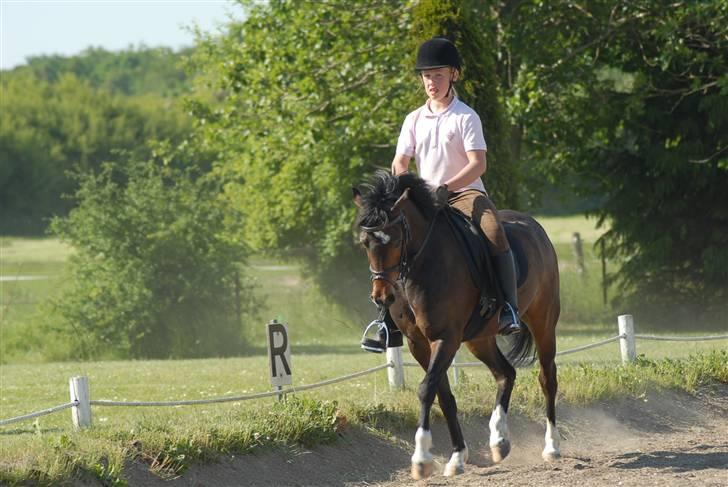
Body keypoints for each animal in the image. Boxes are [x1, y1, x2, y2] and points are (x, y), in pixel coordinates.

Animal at [352, 171, 561, 479]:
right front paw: (457, 457)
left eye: (396, 240)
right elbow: (444, 395)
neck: (422, 266)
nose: (382, 296)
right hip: (479, 339)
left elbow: (427, 389)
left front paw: (421, 459)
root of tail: (535, 227)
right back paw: (499, 440)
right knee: (505, 374)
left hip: (543, 323)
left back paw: (552, 446)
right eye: (365, 243)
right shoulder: (419, 343)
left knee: (547, 378)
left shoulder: (445, 338)